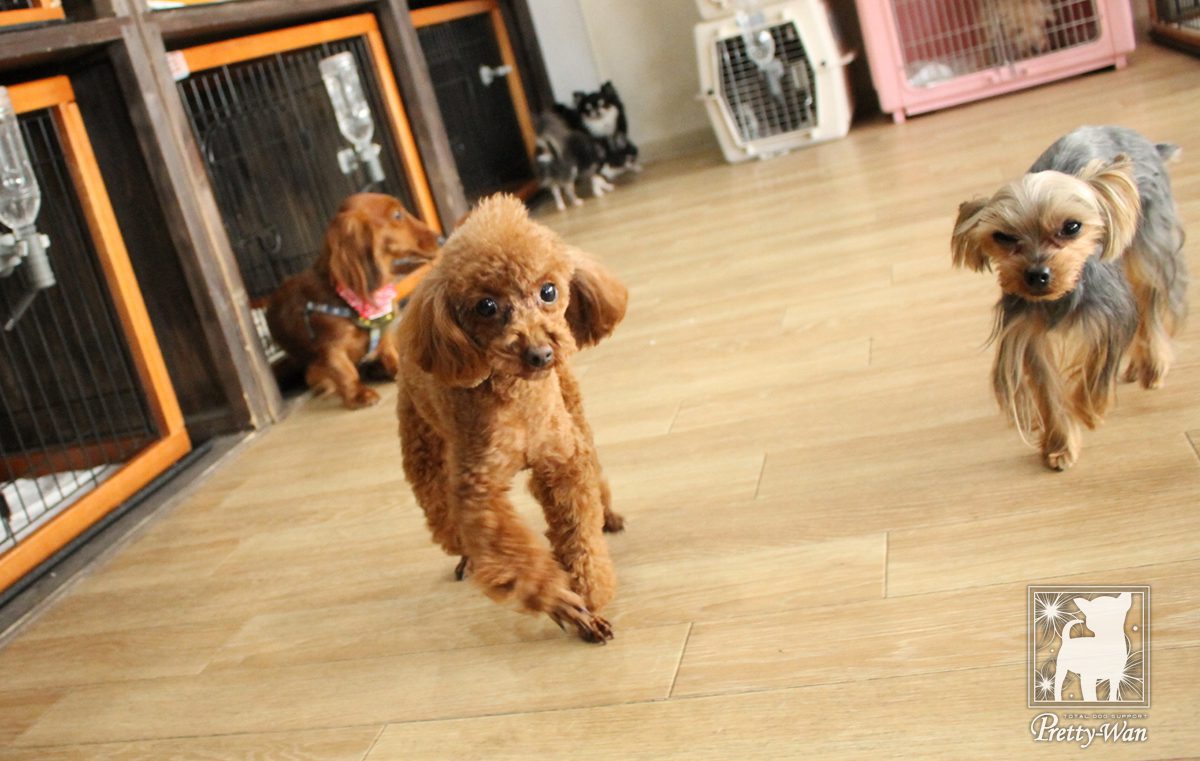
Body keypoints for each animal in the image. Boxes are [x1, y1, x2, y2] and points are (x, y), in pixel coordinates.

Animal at [266, 193, 440, 409]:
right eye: (397, 215)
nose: (441, 238)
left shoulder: (384, 334)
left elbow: (389, 351)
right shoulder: (332, 350)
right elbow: (346, 373)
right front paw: (359, 394)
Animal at [395, 194, 627, 643]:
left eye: (549, 291)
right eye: (486, 306)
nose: (540, 354)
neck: (519, 400)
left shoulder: (563, 461)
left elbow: (579, 532)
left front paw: (589, 591)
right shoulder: (478, 489)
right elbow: (514, 556)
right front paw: (563, 603)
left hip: (573, 410)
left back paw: (608, 514)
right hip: (422, 447)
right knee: (441, 512)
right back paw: (465, 555)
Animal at [952, 126, 1187, 471]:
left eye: (1072, 226)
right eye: (1003, 236)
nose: (1037, 275)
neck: (1059, 297)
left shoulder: (1108, 317)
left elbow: (1096, 369)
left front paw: (1088, 412)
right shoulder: (1027, 332)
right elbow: (1047, 388)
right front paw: (1060, 446)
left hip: (1147, 237)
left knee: (1150, 296)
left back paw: (1152, 367)